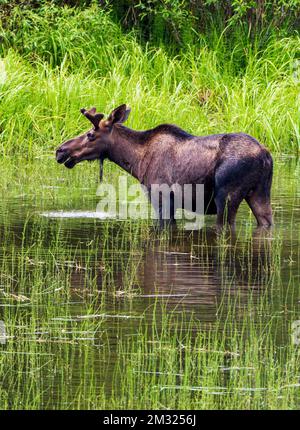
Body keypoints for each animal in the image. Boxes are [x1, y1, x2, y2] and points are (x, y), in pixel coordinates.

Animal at [55, 104, 274, 228]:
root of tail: (265, 156)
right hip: (259, 192)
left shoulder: (161, 198)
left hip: (227, 195)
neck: (136, 161)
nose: (60, 150)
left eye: (90, 134)